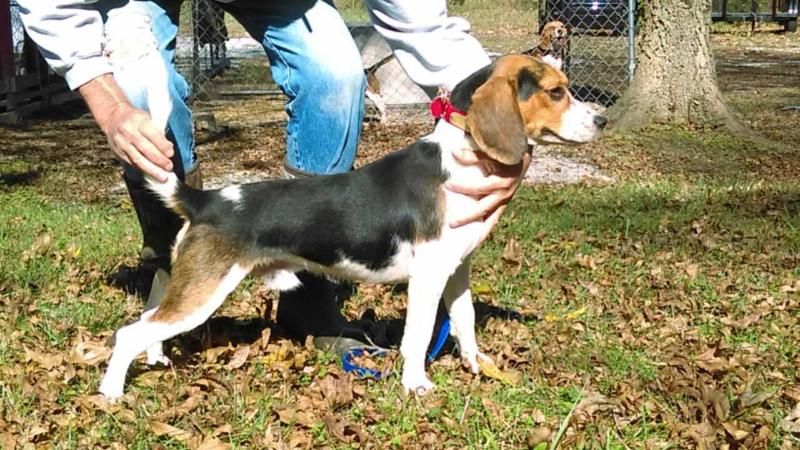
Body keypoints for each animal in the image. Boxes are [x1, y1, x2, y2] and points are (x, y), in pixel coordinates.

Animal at [97, 54, 604, 400]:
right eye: (557, 92)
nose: (600, 119)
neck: (461, 157)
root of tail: (207, 200)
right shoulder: (427, 278)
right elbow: (418, 336)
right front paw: (416, 385)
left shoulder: (456, 271)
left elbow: (464, 321)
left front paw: (476, 364)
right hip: (204, 292)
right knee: (128, 333)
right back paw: (112, 392)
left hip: (190, 289)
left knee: (148, 322)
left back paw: (156, 359)